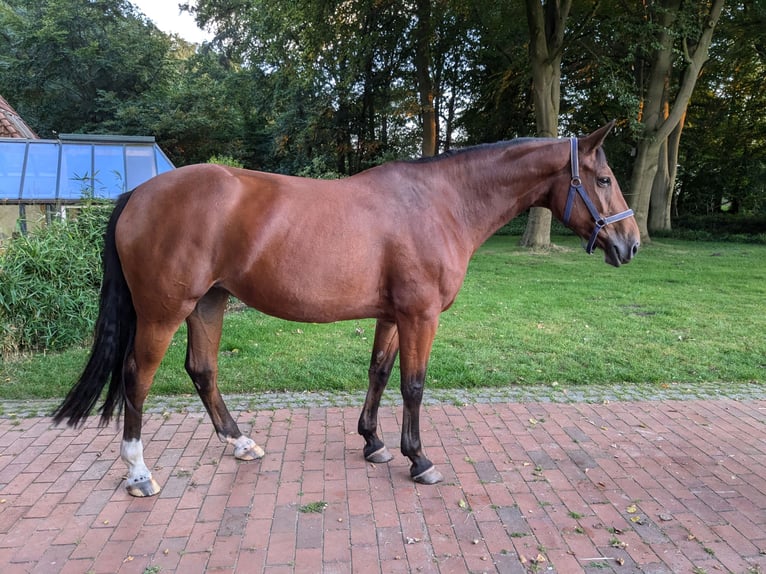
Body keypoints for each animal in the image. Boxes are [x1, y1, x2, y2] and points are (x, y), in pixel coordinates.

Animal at [52, 122, 640, 500]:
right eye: (604, 180)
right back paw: (139, 474)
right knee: (137, 377)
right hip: (164, 311)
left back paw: (241, 443)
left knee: (202, 370)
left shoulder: (392, 314)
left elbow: (379, 372)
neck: (441, 202)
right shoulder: (421, 315)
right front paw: (419, 460)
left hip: (209, 303)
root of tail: (137, 193)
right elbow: (413, 385)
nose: (631, 243)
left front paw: (374, 444)